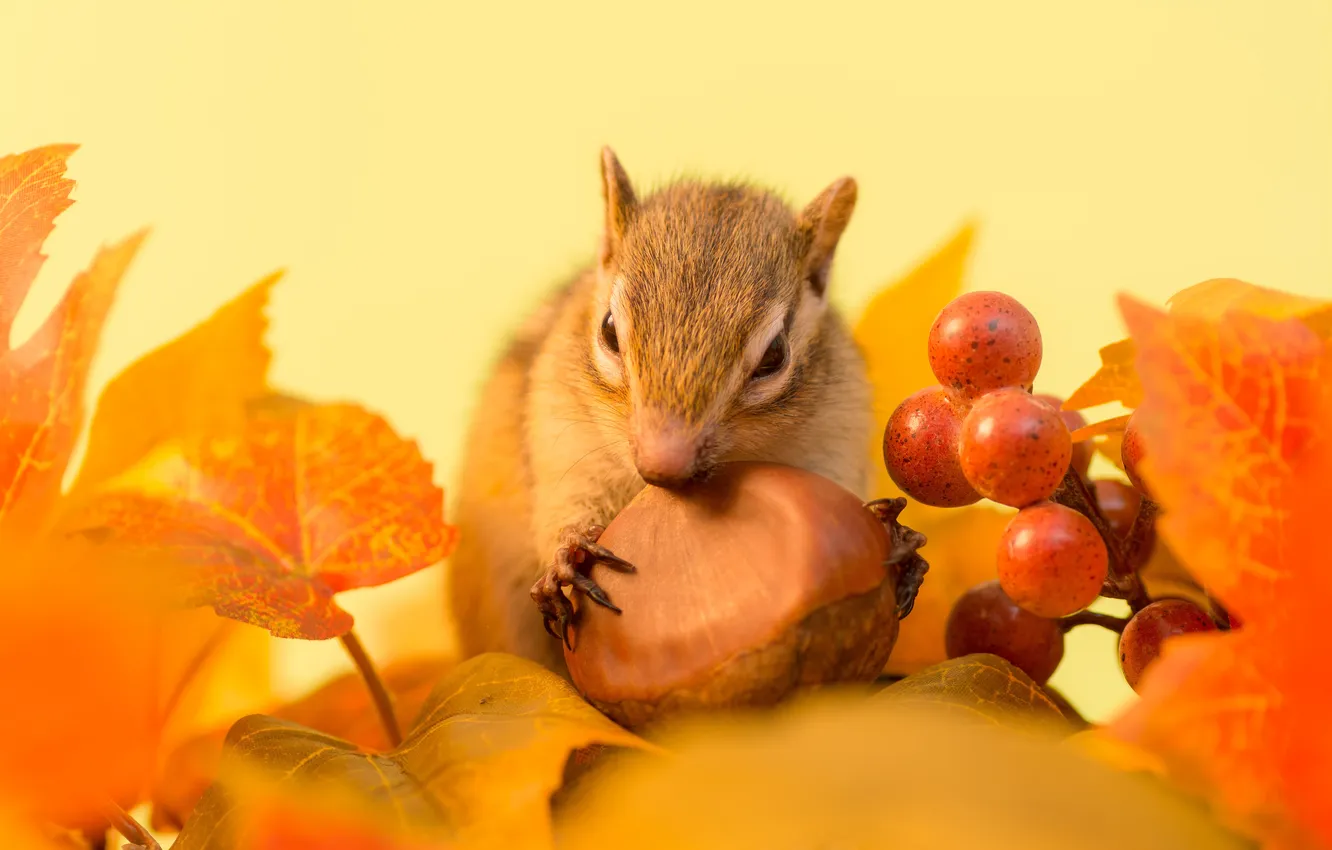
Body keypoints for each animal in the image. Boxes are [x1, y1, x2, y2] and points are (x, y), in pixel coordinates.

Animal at [447, 148, 922, 676]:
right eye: (608, 330)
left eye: (774, 355)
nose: (663, 465)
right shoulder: (561, 437)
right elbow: (566, 504)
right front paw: (567, 553)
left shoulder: (836, 435)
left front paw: (898, 541)